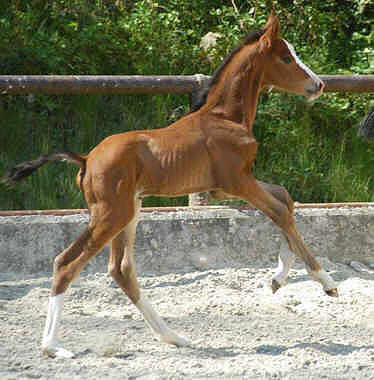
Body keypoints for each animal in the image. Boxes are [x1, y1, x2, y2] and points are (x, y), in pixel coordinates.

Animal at [2, 11, 336, 356]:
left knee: (121, 269)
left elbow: (285, 199)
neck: (224, 117)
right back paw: (52, 346)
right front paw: (325, 281)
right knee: (67, 263)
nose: (318, 84)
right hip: (112, 215)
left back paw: (173, 337)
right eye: (286, 57)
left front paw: (278, 278)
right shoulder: (236, 182)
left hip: (129, 211)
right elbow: (280, 210)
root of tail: (85, 159)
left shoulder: (226, 187)